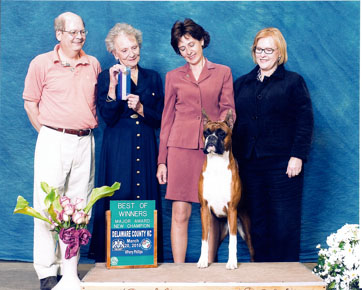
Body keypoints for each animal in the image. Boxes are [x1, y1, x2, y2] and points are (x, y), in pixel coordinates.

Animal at [197, 109, 253, 270]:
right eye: (205, 132)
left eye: (222, 133)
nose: (211, 137)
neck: (217, 165)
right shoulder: (204, 209)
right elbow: (204, 239)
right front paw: (202, 261)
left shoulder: (232, 210)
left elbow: (233, 241)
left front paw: (232, 262)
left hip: (246, 230)